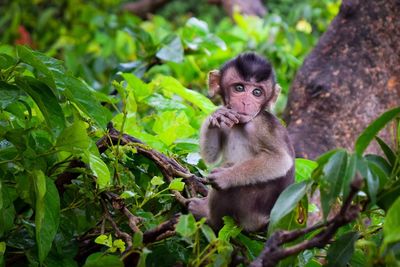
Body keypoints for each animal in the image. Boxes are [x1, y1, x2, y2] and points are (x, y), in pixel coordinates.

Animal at [188, 52, 294, 232]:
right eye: (239, 88)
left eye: (257, 92)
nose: (246, 102)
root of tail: (263, 222)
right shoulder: (229, 120)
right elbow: (211, 156)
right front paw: (216, 116)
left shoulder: (260, 125)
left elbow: (280, 160)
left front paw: (225, 177)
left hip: (247, 212)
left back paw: (207, 215)